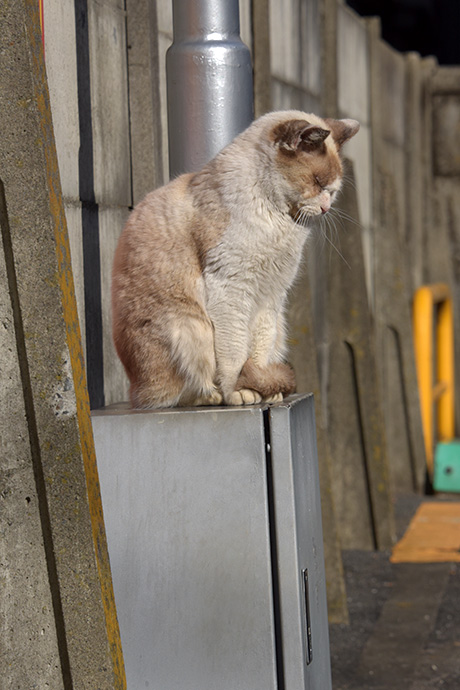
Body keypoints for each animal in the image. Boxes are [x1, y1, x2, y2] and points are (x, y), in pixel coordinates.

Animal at [111, 110, 360, 406]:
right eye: (318, 183)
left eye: (333, 191)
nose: (326, 208)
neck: (279, 222)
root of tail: (134, 390)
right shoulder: (231, 287)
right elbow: (235, 355)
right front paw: (240, 392)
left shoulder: (271, 296)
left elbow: (258, 352)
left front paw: (265, 390)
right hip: (189, 326)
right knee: (176, 394)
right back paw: (212, 395)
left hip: (273, 324)